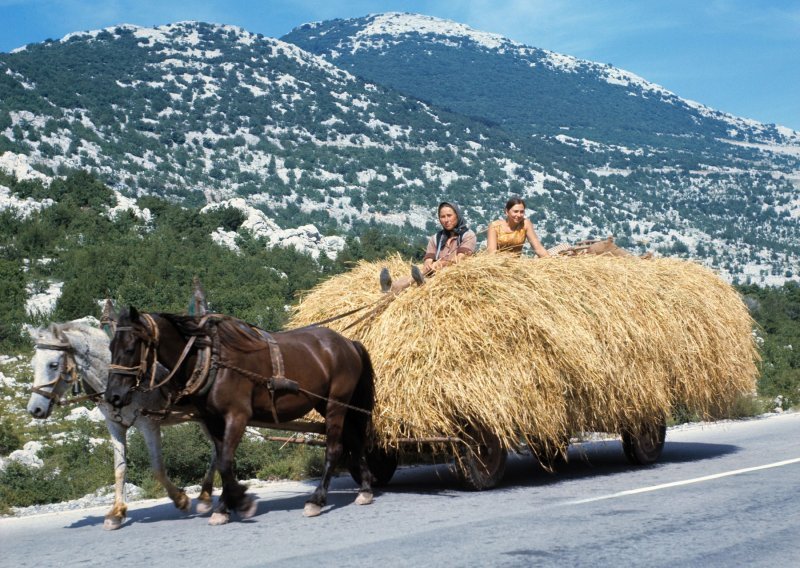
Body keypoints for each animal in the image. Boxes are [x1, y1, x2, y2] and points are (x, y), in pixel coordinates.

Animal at [27, 322, 216, 532]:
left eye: (53, 365)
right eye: (33, 364)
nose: (35, 409)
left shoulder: (148, 424)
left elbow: (157, 468)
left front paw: (181, 499)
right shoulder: (115, 426)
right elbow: (119, 468)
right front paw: (117, 513)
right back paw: (206, 496)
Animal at [104, 308, 376, 524]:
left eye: (130, 348)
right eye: (110, 347)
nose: (112, 396)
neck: (210, 358)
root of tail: (348, 342)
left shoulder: (237, 416)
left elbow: (225, 462)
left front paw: (241, 502)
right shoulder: (214, 421)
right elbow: (225, 462)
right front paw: (224, 507)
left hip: (336, 404)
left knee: (335, 448)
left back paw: (317, 500)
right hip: (329, 403)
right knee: (355, 441)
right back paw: (365, 488)